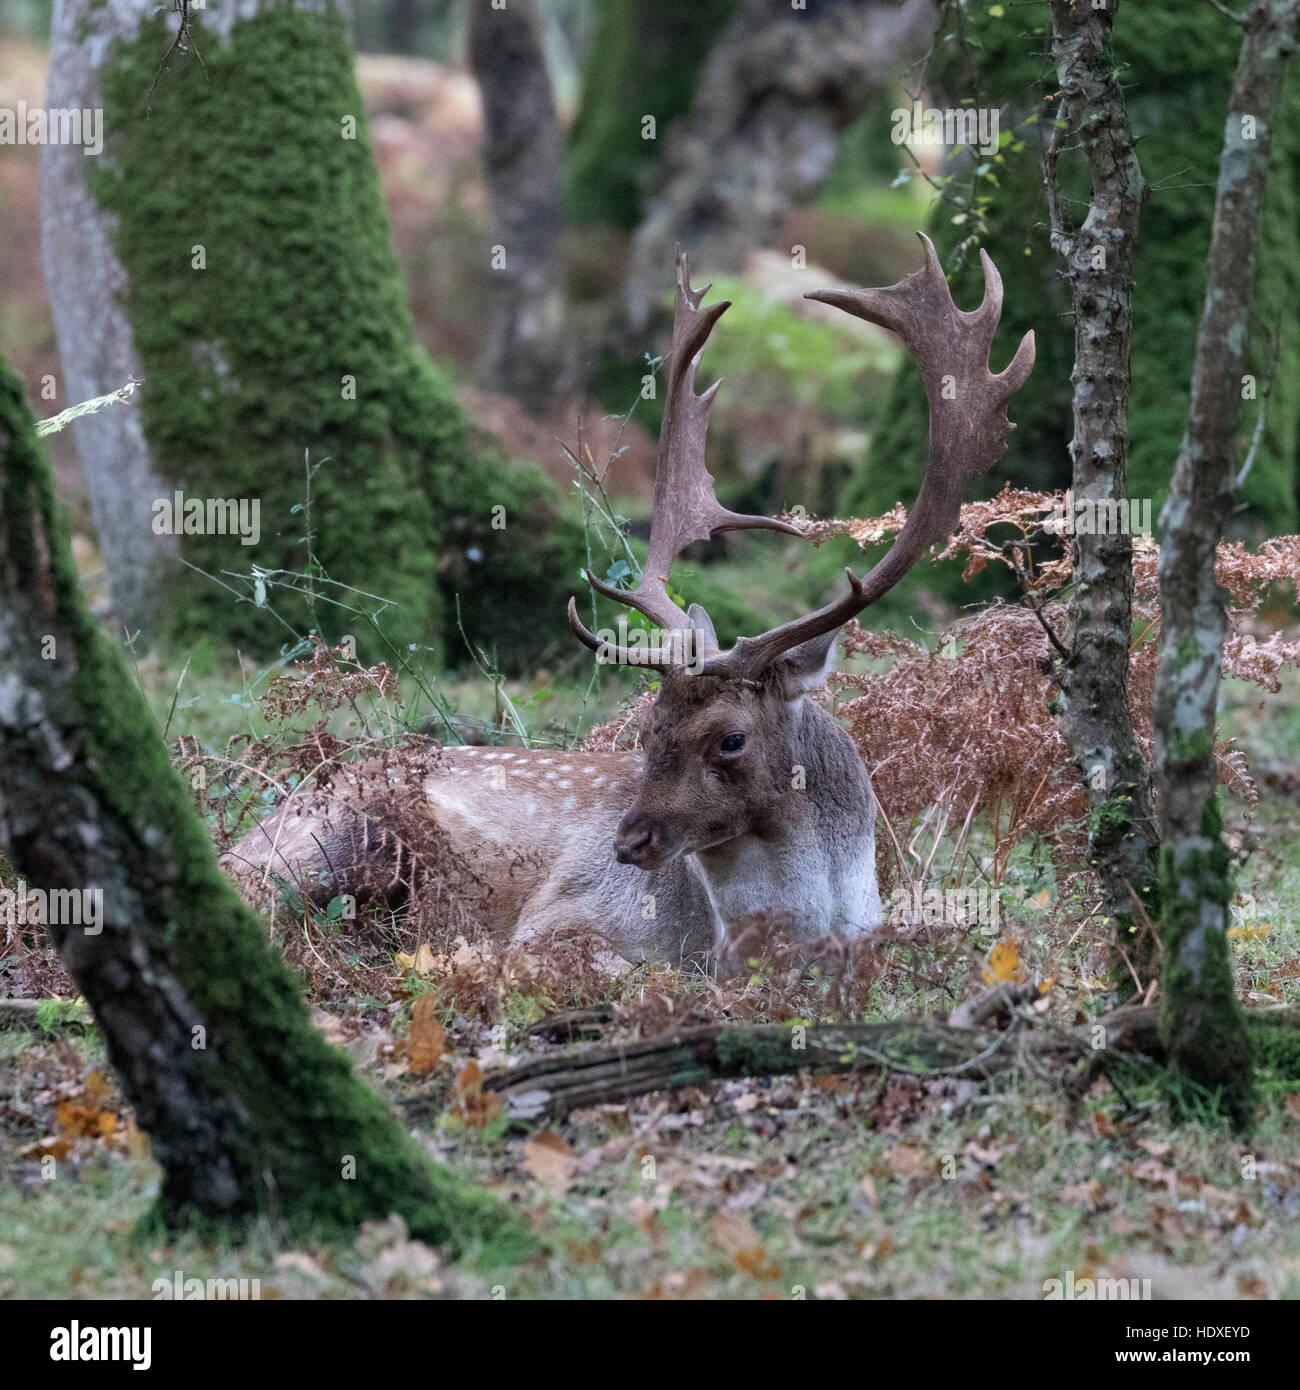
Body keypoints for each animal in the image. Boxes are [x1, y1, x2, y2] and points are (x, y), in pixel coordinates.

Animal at [221, 239, 1034, 973]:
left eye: (731, 738)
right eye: (648, 728)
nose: (627, 842)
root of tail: (251, 831)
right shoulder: (559, 923)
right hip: (322, 846)